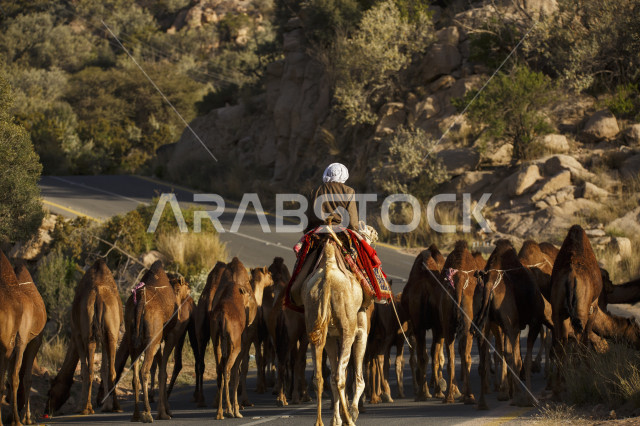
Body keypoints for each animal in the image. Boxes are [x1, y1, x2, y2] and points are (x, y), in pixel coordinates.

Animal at [46, 259, 122, 417]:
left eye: (50, 392)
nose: (47, 409)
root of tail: (98, 297)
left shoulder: (77, 335)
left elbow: (83, 371)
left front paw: (79, 407)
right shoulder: (103, 337)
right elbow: (104, 369)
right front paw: (106, 406)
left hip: (89, 336)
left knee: (90, 370)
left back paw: (87, 408)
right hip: (110, 334)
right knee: (111, 370)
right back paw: (115, 407)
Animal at [210, 258, 257, 419]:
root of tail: (221, 317)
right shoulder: (240, 344)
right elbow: (237, 374)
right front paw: (236, 408)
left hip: (217, 342)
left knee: (220, 370)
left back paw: (220, 412)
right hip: (235, 345)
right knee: (227, 369)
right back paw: (230, 410)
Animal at [303, 238, 371, 426]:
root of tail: (327, 281)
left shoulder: (332, 338)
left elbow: (333, 376)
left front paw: (336, 419)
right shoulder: (361, 332)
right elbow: (358, 379)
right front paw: (352, 412)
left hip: (314, 326)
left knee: (320, 377)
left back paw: (319, 422)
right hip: (347, 331)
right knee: (340, 376)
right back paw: (349, 419)